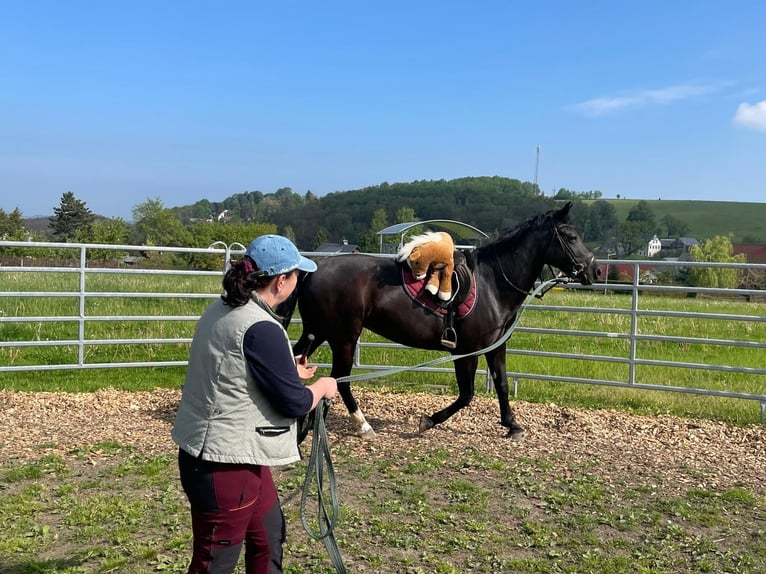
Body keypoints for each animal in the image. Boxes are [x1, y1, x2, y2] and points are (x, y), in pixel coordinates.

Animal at [280, 204, 604, 440]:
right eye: (571, 237)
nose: (596, 271)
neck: (492, 283)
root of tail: (317, 267)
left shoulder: (495, 347)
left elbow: (501, 383)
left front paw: (512, 425)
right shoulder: (466, 351)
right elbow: (466, 395)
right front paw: (428, 421)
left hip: (318, 331)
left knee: (300, 363)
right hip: (344, 337)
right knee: (341, 378)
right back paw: (362, 425)